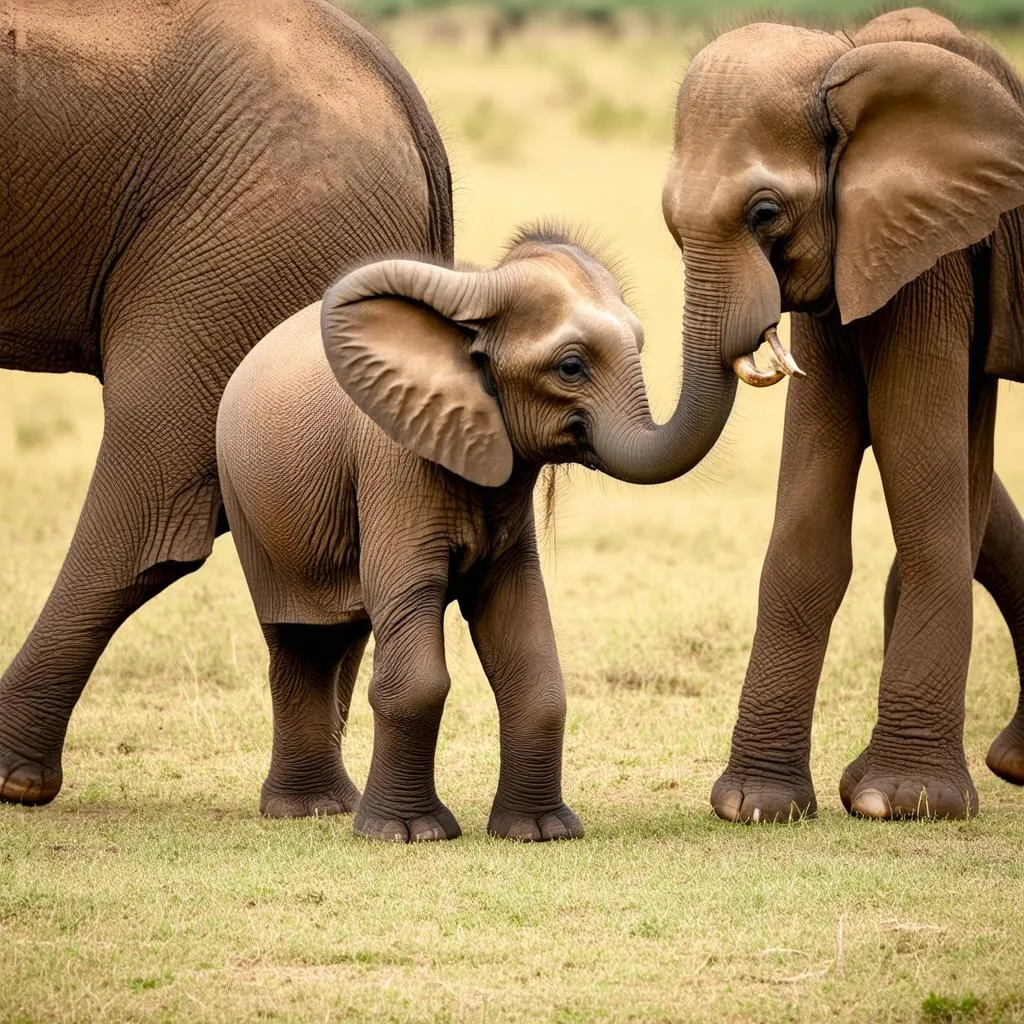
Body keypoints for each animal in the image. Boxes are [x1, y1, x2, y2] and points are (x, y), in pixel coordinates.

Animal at [215, 228, 684, 843]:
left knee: (331, 638)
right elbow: (416, 642)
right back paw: (308, 810)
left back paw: (326, 806)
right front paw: (406, 833)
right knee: (297, 640)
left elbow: (526, 641)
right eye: (570, 367)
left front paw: (540, 832)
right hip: (249, 509)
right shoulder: (395, 460)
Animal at [659, 6, 1024, 823]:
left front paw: (903, 800)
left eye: (766, 213)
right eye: (668, 223)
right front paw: (755, 805)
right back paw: (1016, 763)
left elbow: (921, 496)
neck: (842, 60)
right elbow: (806, 529)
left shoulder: (930, 254)